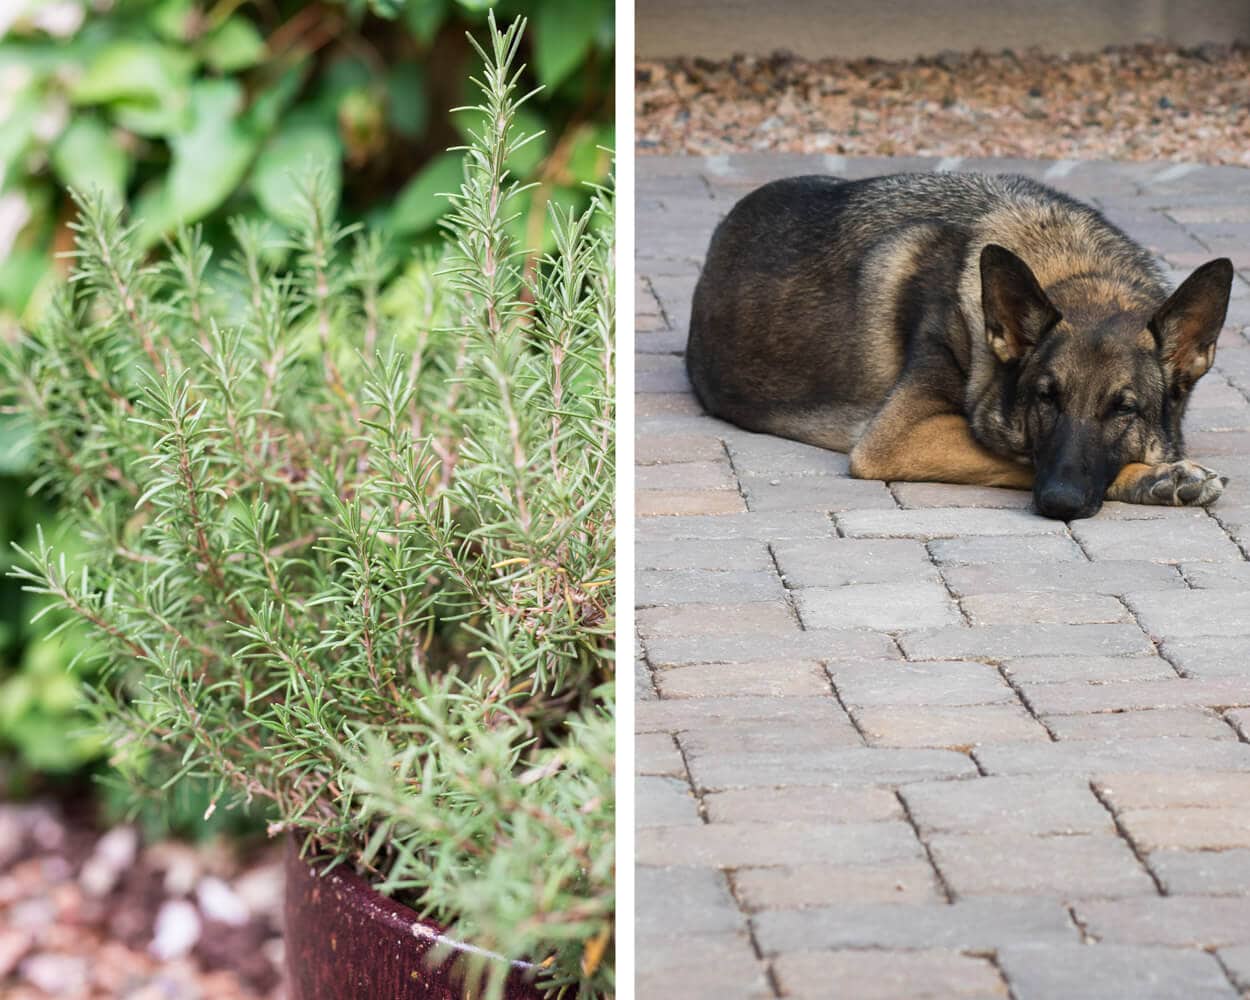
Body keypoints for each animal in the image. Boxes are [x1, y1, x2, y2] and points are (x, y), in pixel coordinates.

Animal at [690, 172, 1235, 520]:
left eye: (1125, 409)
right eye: (1045, 399)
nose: (1059, 503)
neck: (1076, 270)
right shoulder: (898, 437)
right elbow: (1019, 456)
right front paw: (1156, 477)